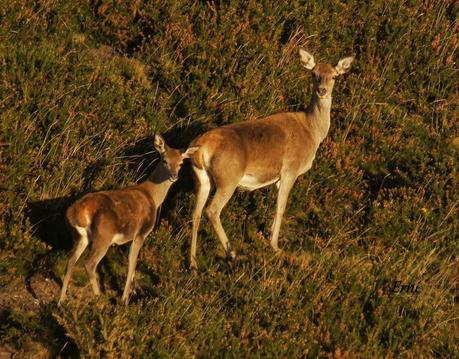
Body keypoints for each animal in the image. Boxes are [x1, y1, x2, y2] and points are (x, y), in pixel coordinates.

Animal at [58, 135, 199, 306]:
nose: (174, 176)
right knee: (89, 264)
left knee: (71, 261)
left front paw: (133, 291)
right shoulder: (141, 233)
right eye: (164, 160)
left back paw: (61, 301)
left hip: (80, 238)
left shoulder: (129, 238)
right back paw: (100, 299)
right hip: (102, 237)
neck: (152, 196)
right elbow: (132, 264)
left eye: (180, 163)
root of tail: (76, 212)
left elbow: (130, 262)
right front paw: (125, 299)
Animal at [189, 50, 354, 270]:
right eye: (314, 74)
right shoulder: (290, 169)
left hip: (202, 178)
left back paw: (192, 263)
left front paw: (269, 237)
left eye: (334, 76)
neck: (312, 132)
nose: (322, 90)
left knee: (196, 212)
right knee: (212, 210)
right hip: (228, 178)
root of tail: (202, 146)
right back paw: (232, 253)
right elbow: (281, 207)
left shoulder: (278, 177)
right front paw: (275, 247)